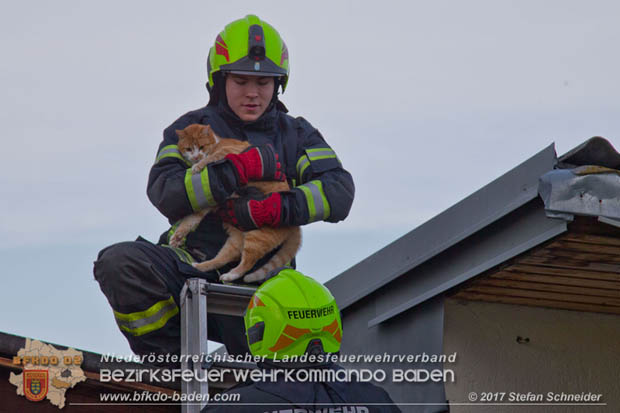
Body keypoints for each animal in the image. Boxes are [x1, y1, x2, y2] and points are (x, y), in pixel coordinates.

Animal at [170, 123, 300, 284]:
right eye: (188, 149)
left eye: (201, 147)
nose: (196, 157)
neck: (216, 143)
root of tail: (294, 223)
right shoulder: (208, 204)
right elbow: (189, 221)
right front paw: (177, 237)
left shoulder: (231, 151)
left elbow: (213, 157)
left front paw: (199, 165)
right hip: (236, 239)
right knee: (226, 257)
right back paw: (204, 267)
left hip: (257, 236)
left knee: (248, 262)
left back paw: (232, 274)